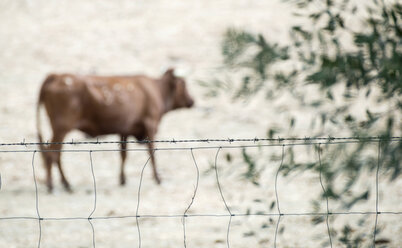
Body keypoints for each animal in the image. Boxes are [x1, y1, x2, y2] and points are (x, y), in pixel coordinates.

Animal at [36, 69, 195, 193]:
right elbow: (152, 153)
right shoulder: (150, 124)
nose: (192, 101)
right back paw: (54, 185)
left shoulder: (125, 130)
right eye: (183, 84)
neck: (156, 89)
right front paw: (157, 178)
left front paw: (122, 179)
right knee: (52, 154)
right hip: (61, 127)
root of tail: (57, 75)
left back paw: (65, 183)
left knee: (55, 154)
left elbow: (123, 154)